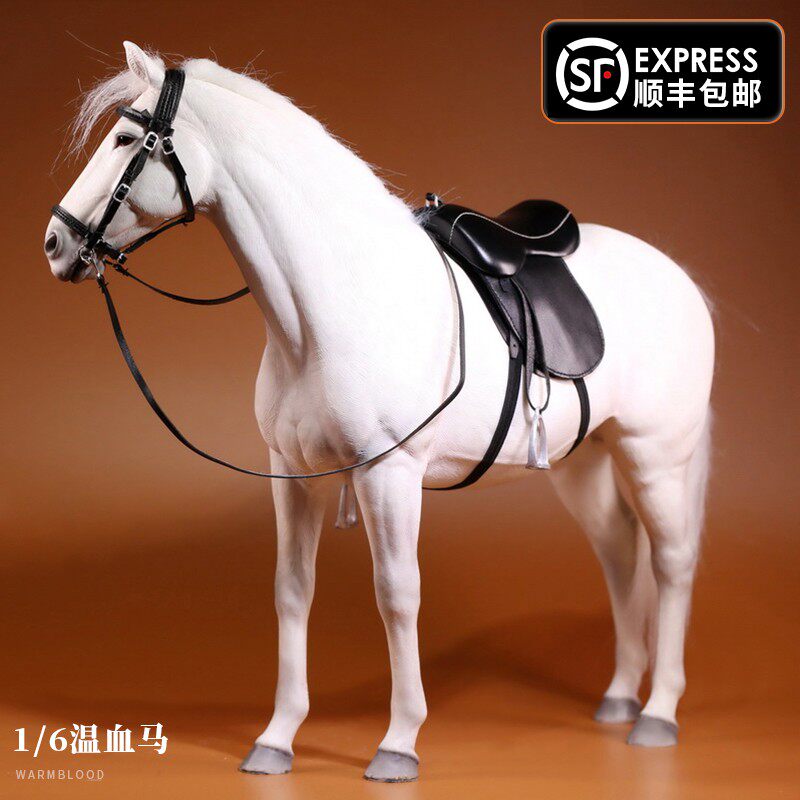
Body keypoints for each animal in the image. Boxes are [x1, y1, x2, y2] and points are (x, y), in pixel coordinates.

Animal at [44, 42, 714, 782]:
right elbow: (292, 590)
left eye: (125, 139)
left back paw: (658, 713)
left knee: (672, 561)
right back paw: (621, 696)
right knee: (620, 552)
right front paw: (277, 737)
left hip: (656, 456)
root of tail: (677, 276)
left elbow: (397, 594)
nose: (55, 243)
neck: (335, 303)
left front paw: (398, 742)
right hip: (582, 462)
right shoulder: (291, 473)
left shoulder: (389, 475)